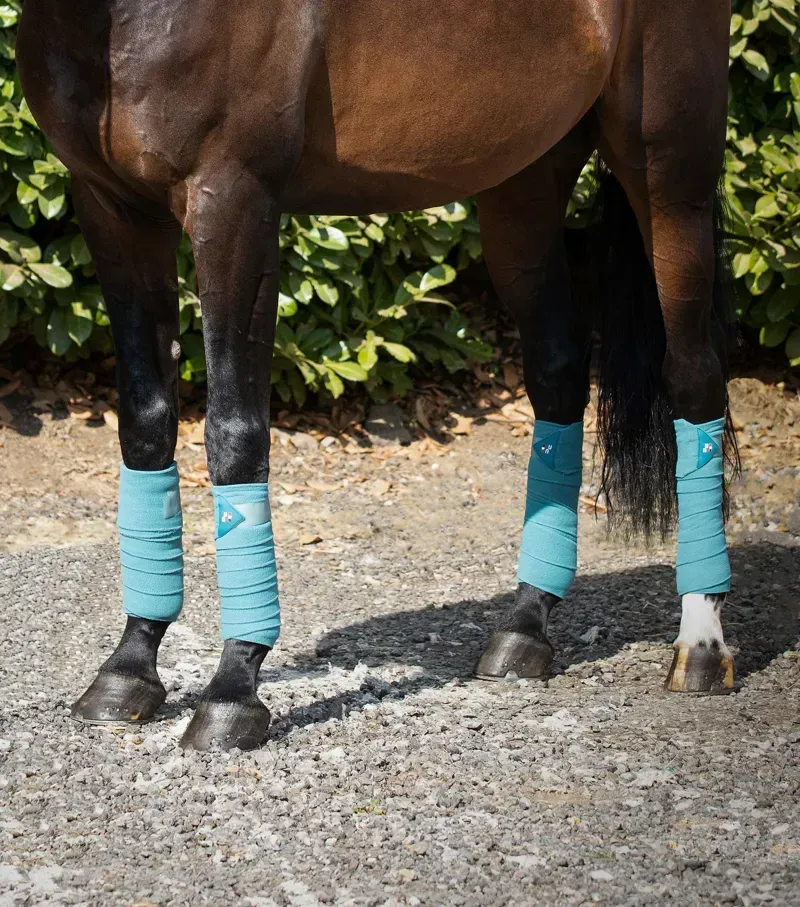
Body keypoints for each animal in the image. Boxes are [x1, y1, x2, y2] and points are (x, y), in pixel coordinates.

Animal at [17, 0, 738, 751]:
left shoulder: (234, 203)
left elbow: (235, 435)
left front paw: (232, 691)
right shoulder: (113, 209)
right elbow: (146, 423)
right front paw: (129, 668)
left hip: (668, 172)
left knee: (693, 376)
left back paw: (700, 648)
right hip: (525, 181)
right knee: (560, 375)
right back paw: (523, 631)